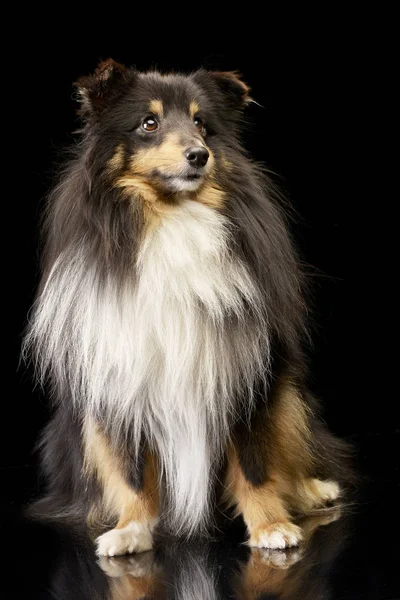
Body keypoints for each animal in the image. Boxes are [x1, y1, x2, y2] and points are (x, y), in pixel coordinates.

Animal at [23, 58, 352, 556]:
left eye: (201, 124)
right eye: (149, 123)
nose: (199, 155)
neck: (172, 218)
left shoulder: (247, 373)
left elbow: (255, 463)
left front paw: (271, 526)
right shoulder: (120, 377)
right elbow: (132, 473)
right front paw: (132, 529)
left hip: (290, 396)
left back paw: (315, 490)